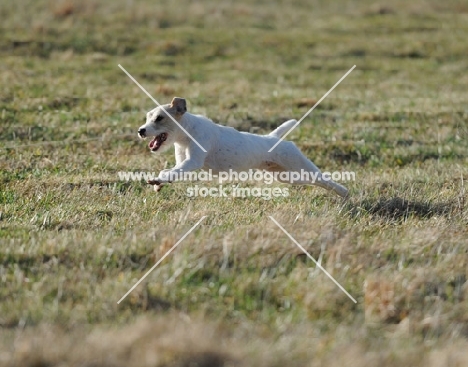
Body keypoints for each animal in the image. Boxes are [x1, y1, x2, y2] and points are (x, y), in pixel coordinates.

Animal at [137, 96, 350, 197]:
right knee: (317, 183)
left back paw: (344, 194)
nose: (141, 130)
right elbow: (170, 170)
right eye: (148, 117)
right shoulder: (183, 161)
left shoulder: (192, 162)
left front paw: (158, 180)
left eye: (159, 118)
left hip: (301, 167)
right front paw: (159, 183)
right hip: (288, 177)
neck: (187, 132)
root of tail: (273, 138)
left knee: (325, 180)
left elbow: (173, 171)